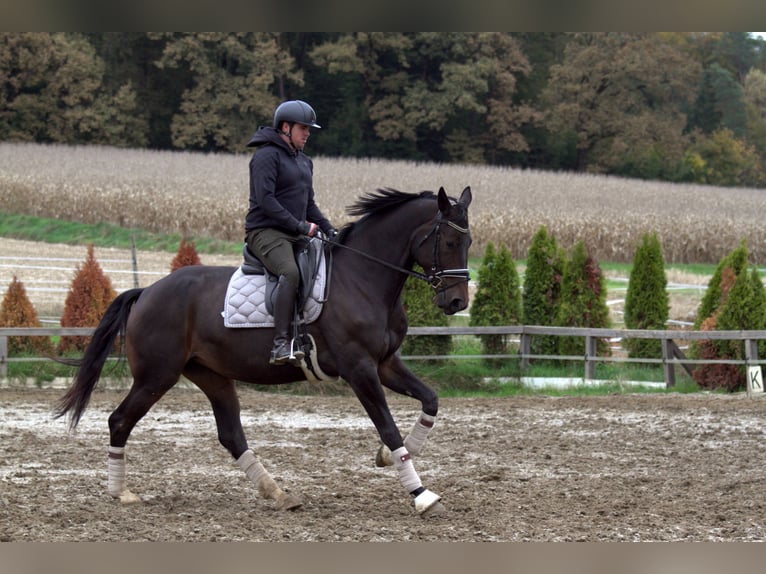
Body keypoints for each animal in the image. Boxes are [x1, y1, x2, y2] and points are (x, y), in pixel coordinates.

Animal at [55, 188, 474, 516]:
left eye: (469, 243)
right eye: (451, 243)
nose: (456, 302)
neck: (363, 277)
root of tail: (147, 292)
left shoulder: (385, 364)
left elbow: (430, 400)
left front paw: (389, 457)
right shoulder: (360, 369)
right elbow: (388, 426)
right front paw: (421, 494)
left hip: (211, 375)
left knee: (230, 435)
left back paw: (278, 493)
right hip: (157, 376)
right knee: (119, 421)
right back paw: (121, 493)